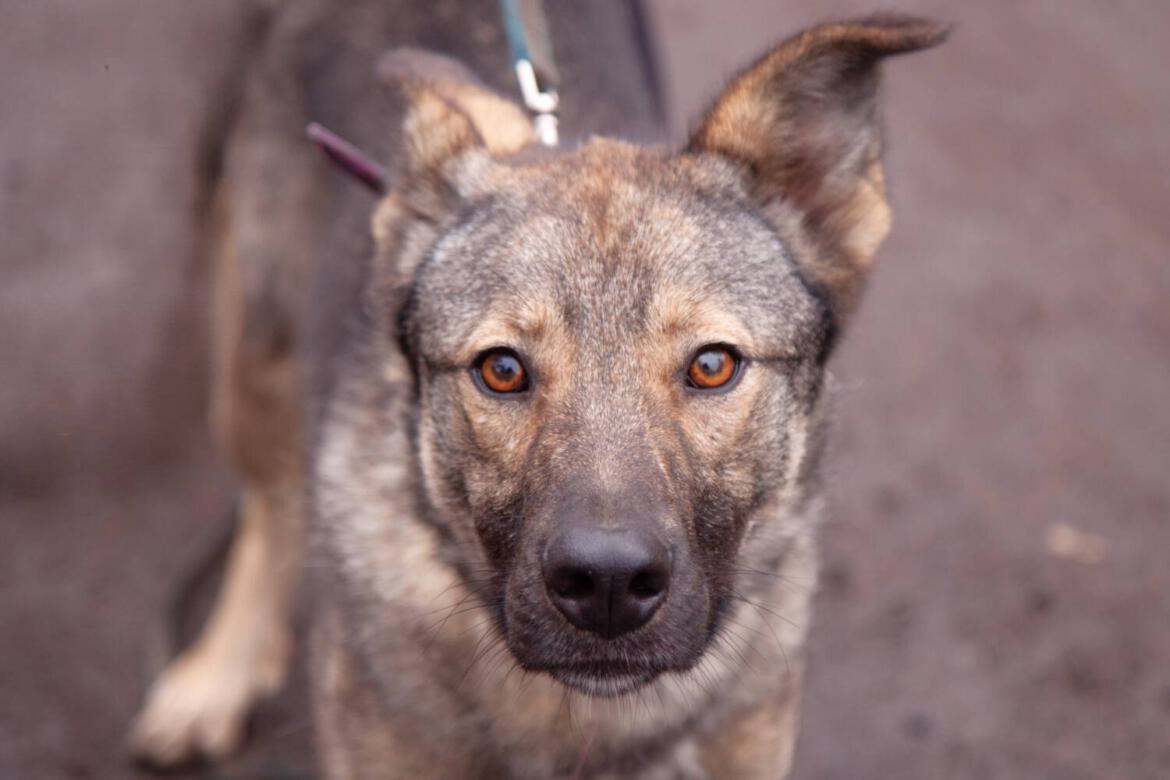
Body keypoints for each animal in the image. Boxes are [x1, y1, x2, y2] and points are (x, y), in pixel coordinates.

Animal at [128, 3, 945, 776]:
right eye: (503, 369)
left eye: (713, 365)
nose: (608, 583)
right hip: (254, 362)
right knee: (268, 503)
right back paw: (218, 673)